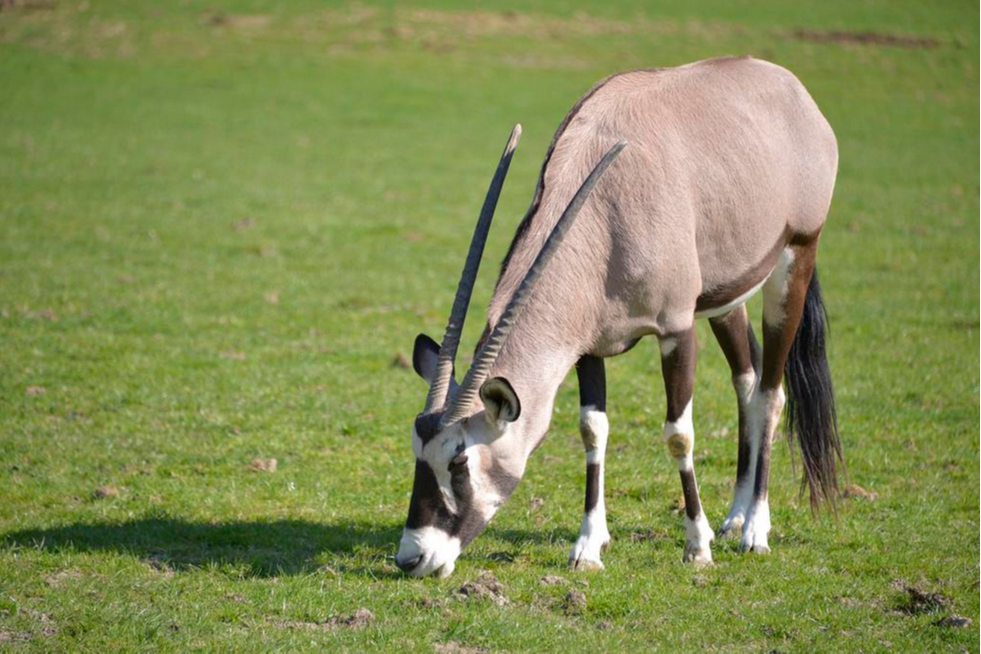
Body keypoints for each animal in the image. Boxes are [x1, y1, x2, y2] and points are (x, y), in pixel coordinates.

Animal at [394, 57, 840, 580]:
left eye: (459, 461)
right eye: (418, 453)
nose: (412, 557)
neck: (605, 214)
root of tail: (790, 86)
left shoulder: (676, 328)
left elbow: (679, 434)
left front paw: (697, 545)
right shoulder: (587, 344)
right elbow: (593, 429)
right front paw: (589, 545)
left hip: (796, 258)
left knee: (771, 394)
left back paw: (755, 529)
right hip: (728, 296)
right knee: (747, 384)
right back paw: (734, 516)